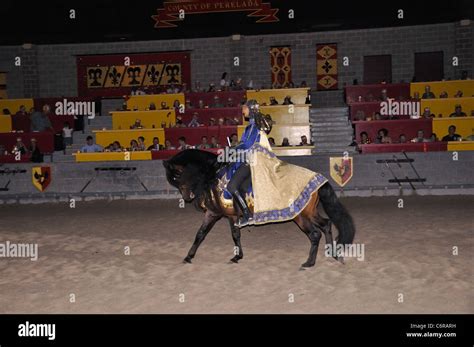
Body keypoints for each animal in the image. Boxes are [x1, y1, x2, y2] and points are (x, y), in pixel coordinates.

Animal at [163, 150, 356, 270]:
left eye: (176, 176)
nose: (187, 197)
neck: (211, 175)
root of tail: (318, 179)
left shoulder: (220, 214)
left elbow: (222, 234)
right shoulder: (224, 215)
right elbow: (206, 234)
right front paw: (190, 257)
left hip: (300, 216)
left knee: (315, 234)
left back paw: (308, 263)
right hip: (309, 212)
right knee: (326, 224)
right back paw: (332, 254)